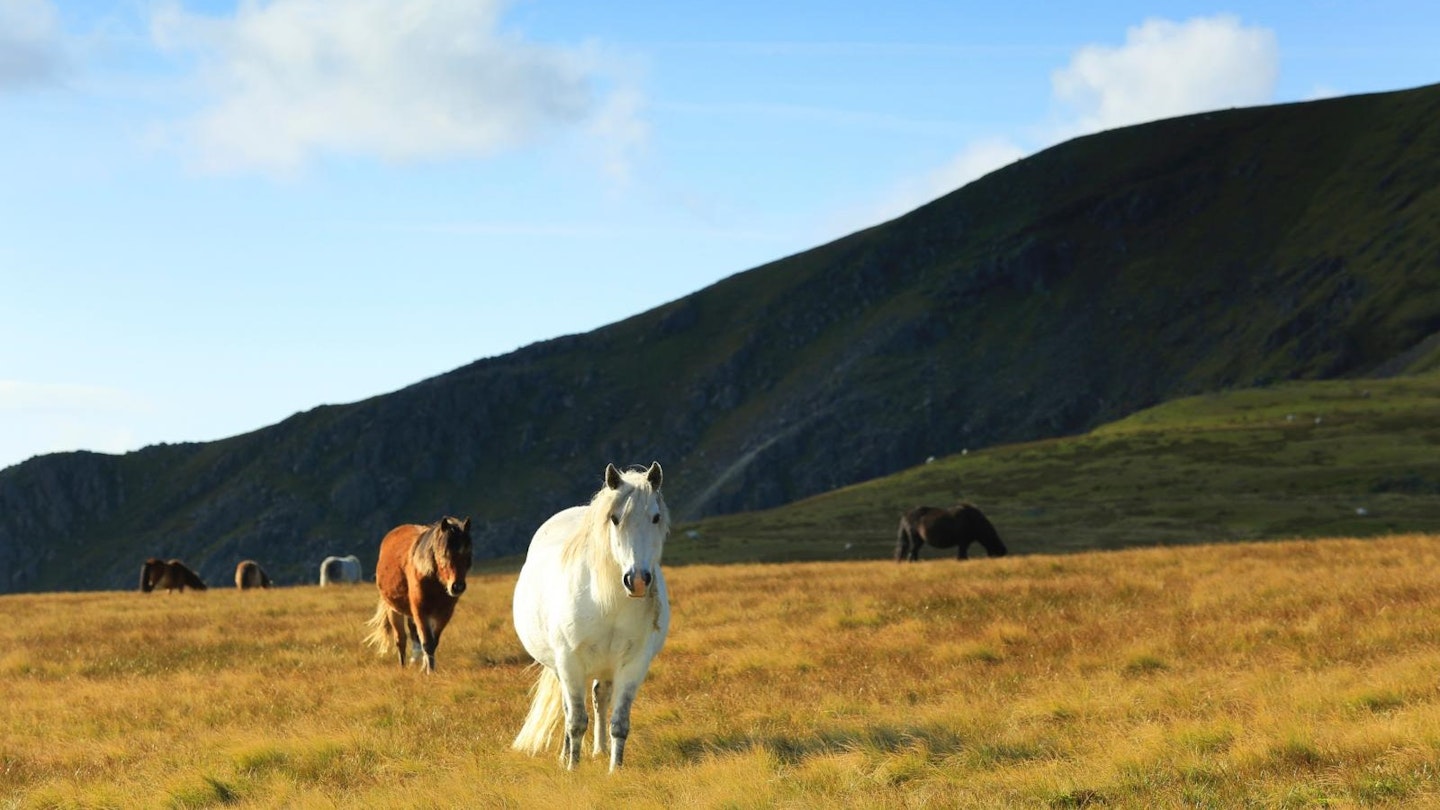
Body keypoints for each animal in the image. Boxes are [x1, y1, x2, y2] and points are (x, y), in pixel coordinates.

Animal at [362, 513, 475, 671]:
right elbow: (427, 642)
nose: (457, 586)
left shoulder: (444, 614)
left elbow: (433, 641)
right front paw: (429, 671)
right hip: (393, 609)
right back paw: (403, 667)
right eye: (444, 554)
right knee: (401, 639)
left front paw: (427, 668)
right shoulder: (421, 611)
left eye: (468, 554)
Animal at [515, 461, 671, 766]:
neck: (606, 603)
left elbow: (619, 723)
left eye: (656, 517)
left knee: (601, 697)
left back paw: (600, 750)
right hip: (561, 668)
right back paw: (566, 755)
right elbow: (576, 720)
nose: (637, 580)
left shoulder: (633, 664)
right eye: (615, 518)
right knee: (569, 709)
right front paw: (572, 769)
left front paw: (615, 769)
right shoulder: (569, 662)